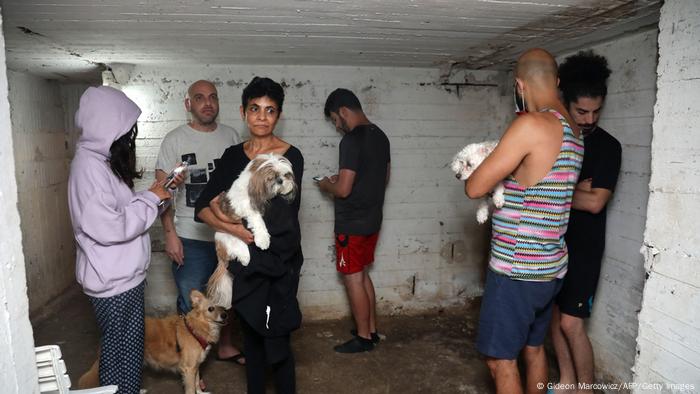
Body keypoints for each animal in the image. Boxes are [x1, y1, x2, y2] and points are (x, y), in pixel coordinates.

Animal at [79, 290, 228, 394]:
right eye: (210, 309)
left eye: (222, 307)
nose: (225, 315)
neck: (195, 328)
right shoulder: (189, 369)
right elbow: (191, 388)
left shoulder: (195, 366)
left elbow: (197, 383)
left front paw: (201, 392)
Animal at [208, 152, 296, 310]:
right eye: (272, 177)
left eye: (285, 175)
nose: (281, 181)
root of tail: (221, 257)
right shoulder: (245, 207)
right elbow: (257, 220)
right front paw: (263, 239)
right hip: (226, 237)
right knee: (238, 249)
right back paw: (245, 257)